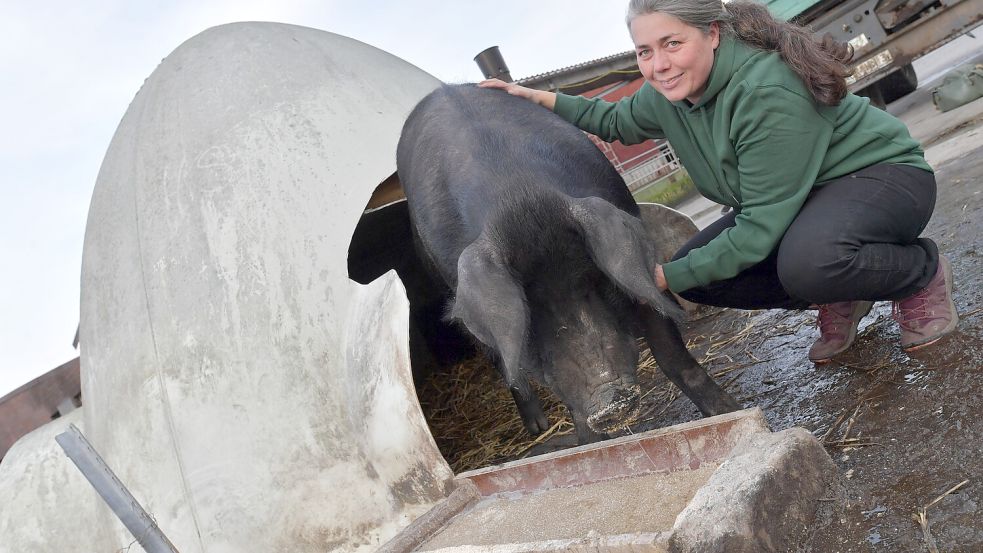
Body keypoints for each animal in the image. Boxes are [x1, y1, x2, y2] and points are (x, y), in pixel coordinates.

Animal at [396, 84, 740, 442]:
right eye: (528, 310)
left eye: (594, 281)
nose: (610, 402)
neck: (518, 196)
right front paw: (591, 444)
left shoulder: (636, 272)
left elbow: (671, 354)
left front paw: (730, 411)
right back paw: (538, 428)